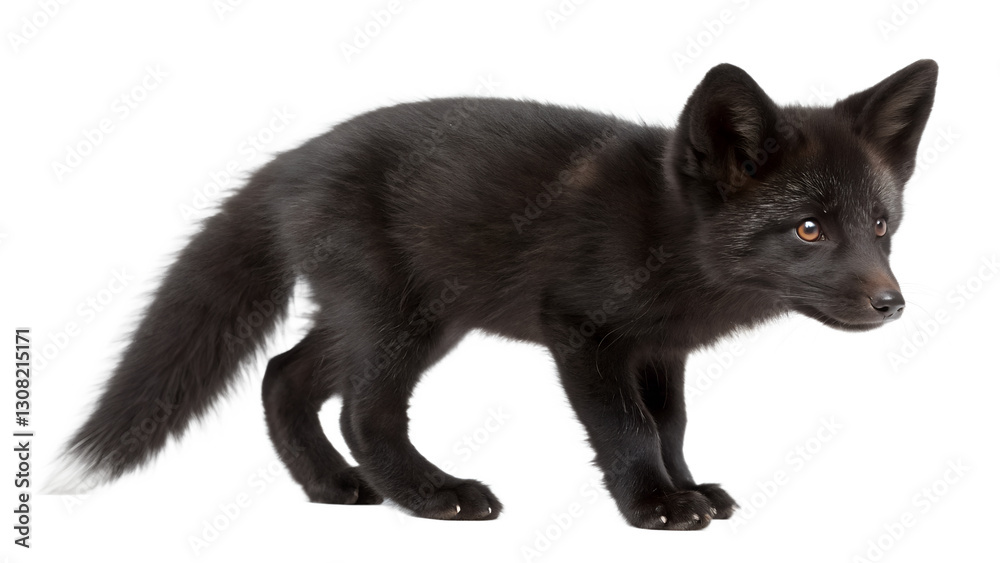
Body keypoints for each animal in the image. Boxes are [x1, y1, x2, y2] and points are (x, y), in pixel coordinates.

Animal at [54, 59, 938, 530]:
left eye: (881, 224)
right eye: (809, 230)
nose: (892, 303)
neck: (669, 237)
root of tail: (288, 161)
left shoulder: (660, 351)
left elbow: (671, 426)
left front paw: (689, 486)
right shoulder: (583, 333)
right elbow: (627, 429)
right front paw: (654, 502)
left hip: (392, 320)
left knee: (282, 376)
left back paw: (333, 487)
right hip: (398, 323)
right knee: (361, 413)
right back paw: (429, 493)